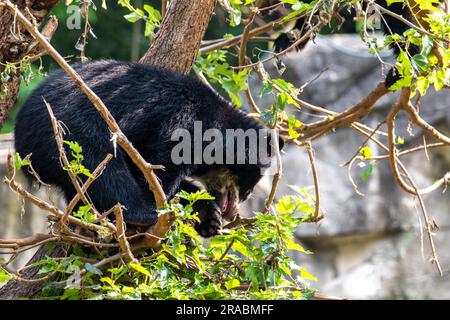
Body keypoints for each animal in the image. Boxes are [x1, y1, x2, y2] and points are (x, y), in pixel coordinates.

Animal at [14, 60, 282, 236]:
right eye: (251, 183)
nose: (233, 213)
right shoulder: (178, 125)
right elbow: (158, 175)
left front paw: (210, 219)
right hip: (70, 133)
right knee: (104, 168)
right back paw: (140, 216)